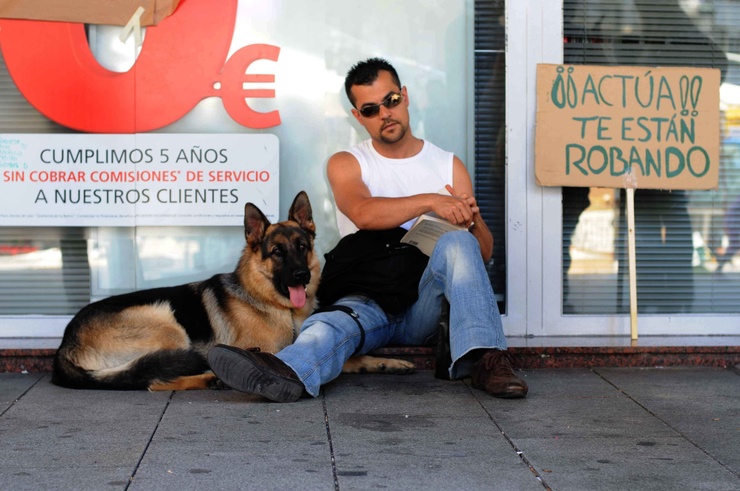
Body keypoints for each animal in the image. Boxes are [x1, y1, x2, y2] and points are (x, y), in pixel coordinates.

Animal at [52, 192, 414, 392]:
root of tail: (64, 344)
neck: (275, 306)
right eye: (277, 252)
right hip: (165, 320)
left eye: (302, 247)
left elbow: (353, 357)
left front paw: (386, 363)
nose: (302, 275)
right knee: (153, 380)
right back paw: (211, 378)